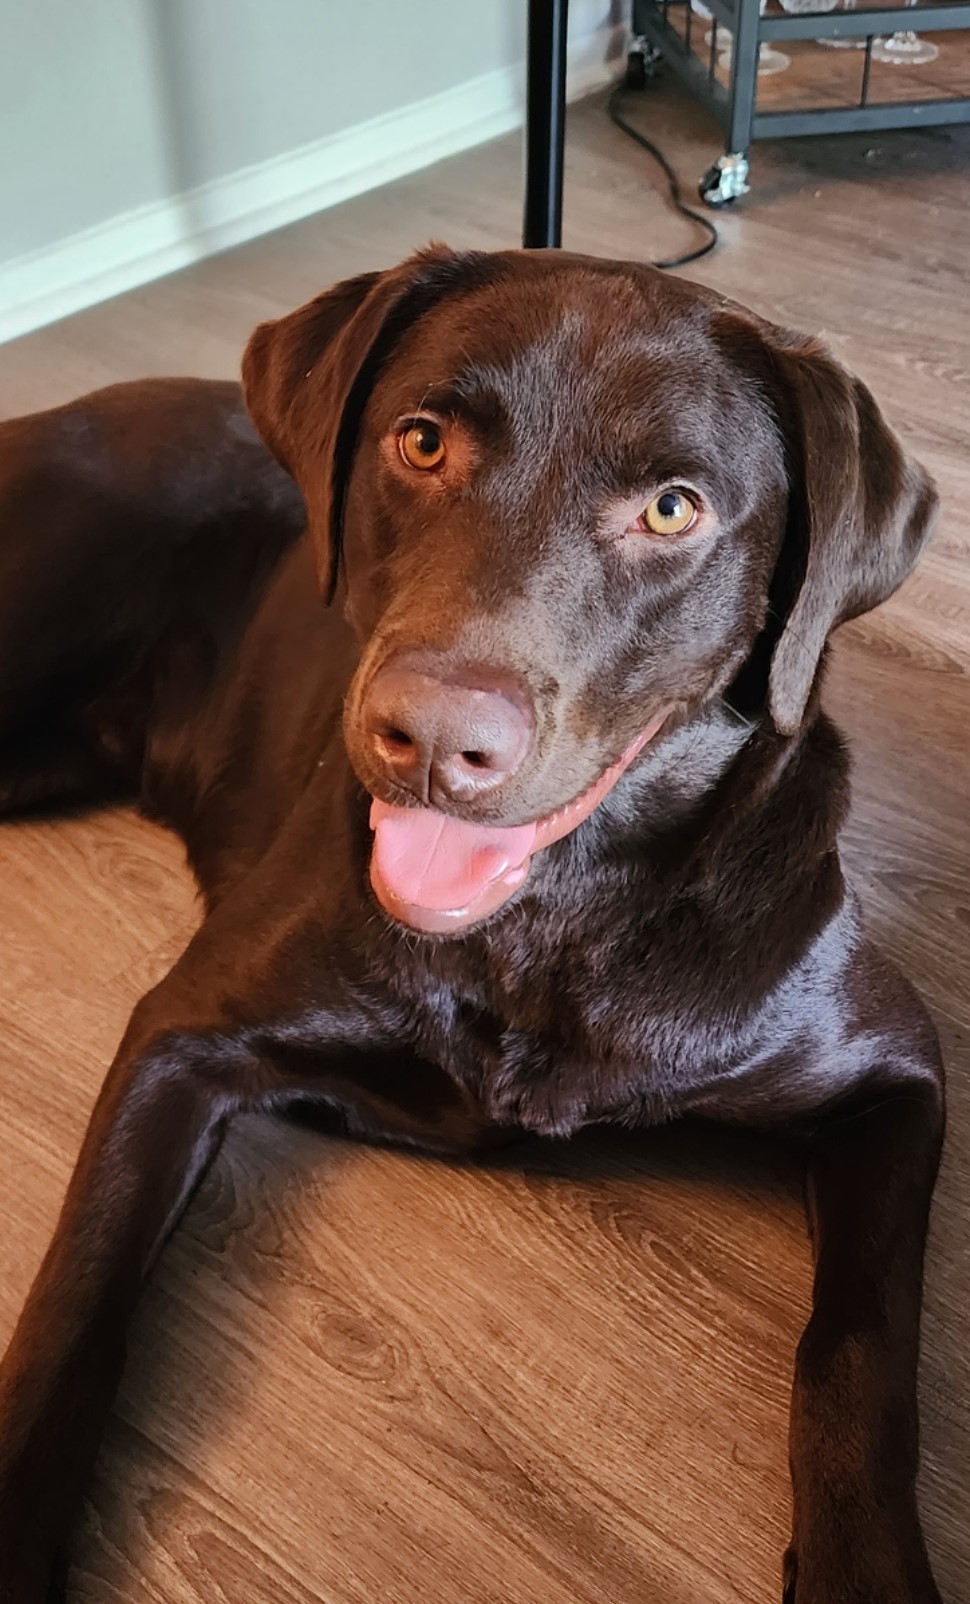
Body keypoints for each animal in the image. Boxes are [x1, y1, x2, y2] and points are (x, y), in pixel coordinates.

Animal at [0, 243, 942, 1597]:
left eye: (672, 508)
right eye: (422, 440)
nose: (433, 740)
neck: (543, 929)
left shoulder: (895, 1073)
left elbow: (858, 1348)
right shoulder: (184, 1027)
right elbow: (75, 1296)